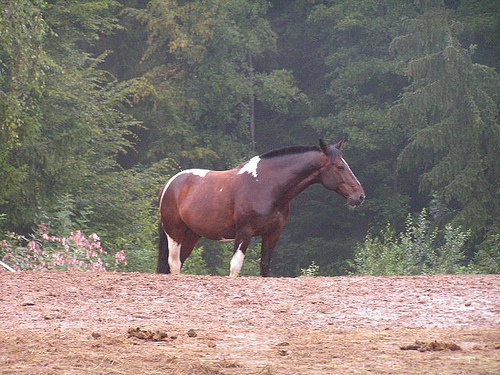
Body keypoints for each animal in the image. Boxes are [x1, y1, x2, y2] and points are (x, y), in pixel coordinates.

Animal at [158, 140, 366, 278]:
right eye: (339, 167)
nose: (360, 196)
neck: (266, 186)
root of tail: (170, 184)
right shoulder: (244, 232)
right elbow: (235, 266)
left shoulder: (272, 233)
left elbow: (265, 266)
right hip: (174, 233)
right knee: (174, 264)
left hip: (192, 235)